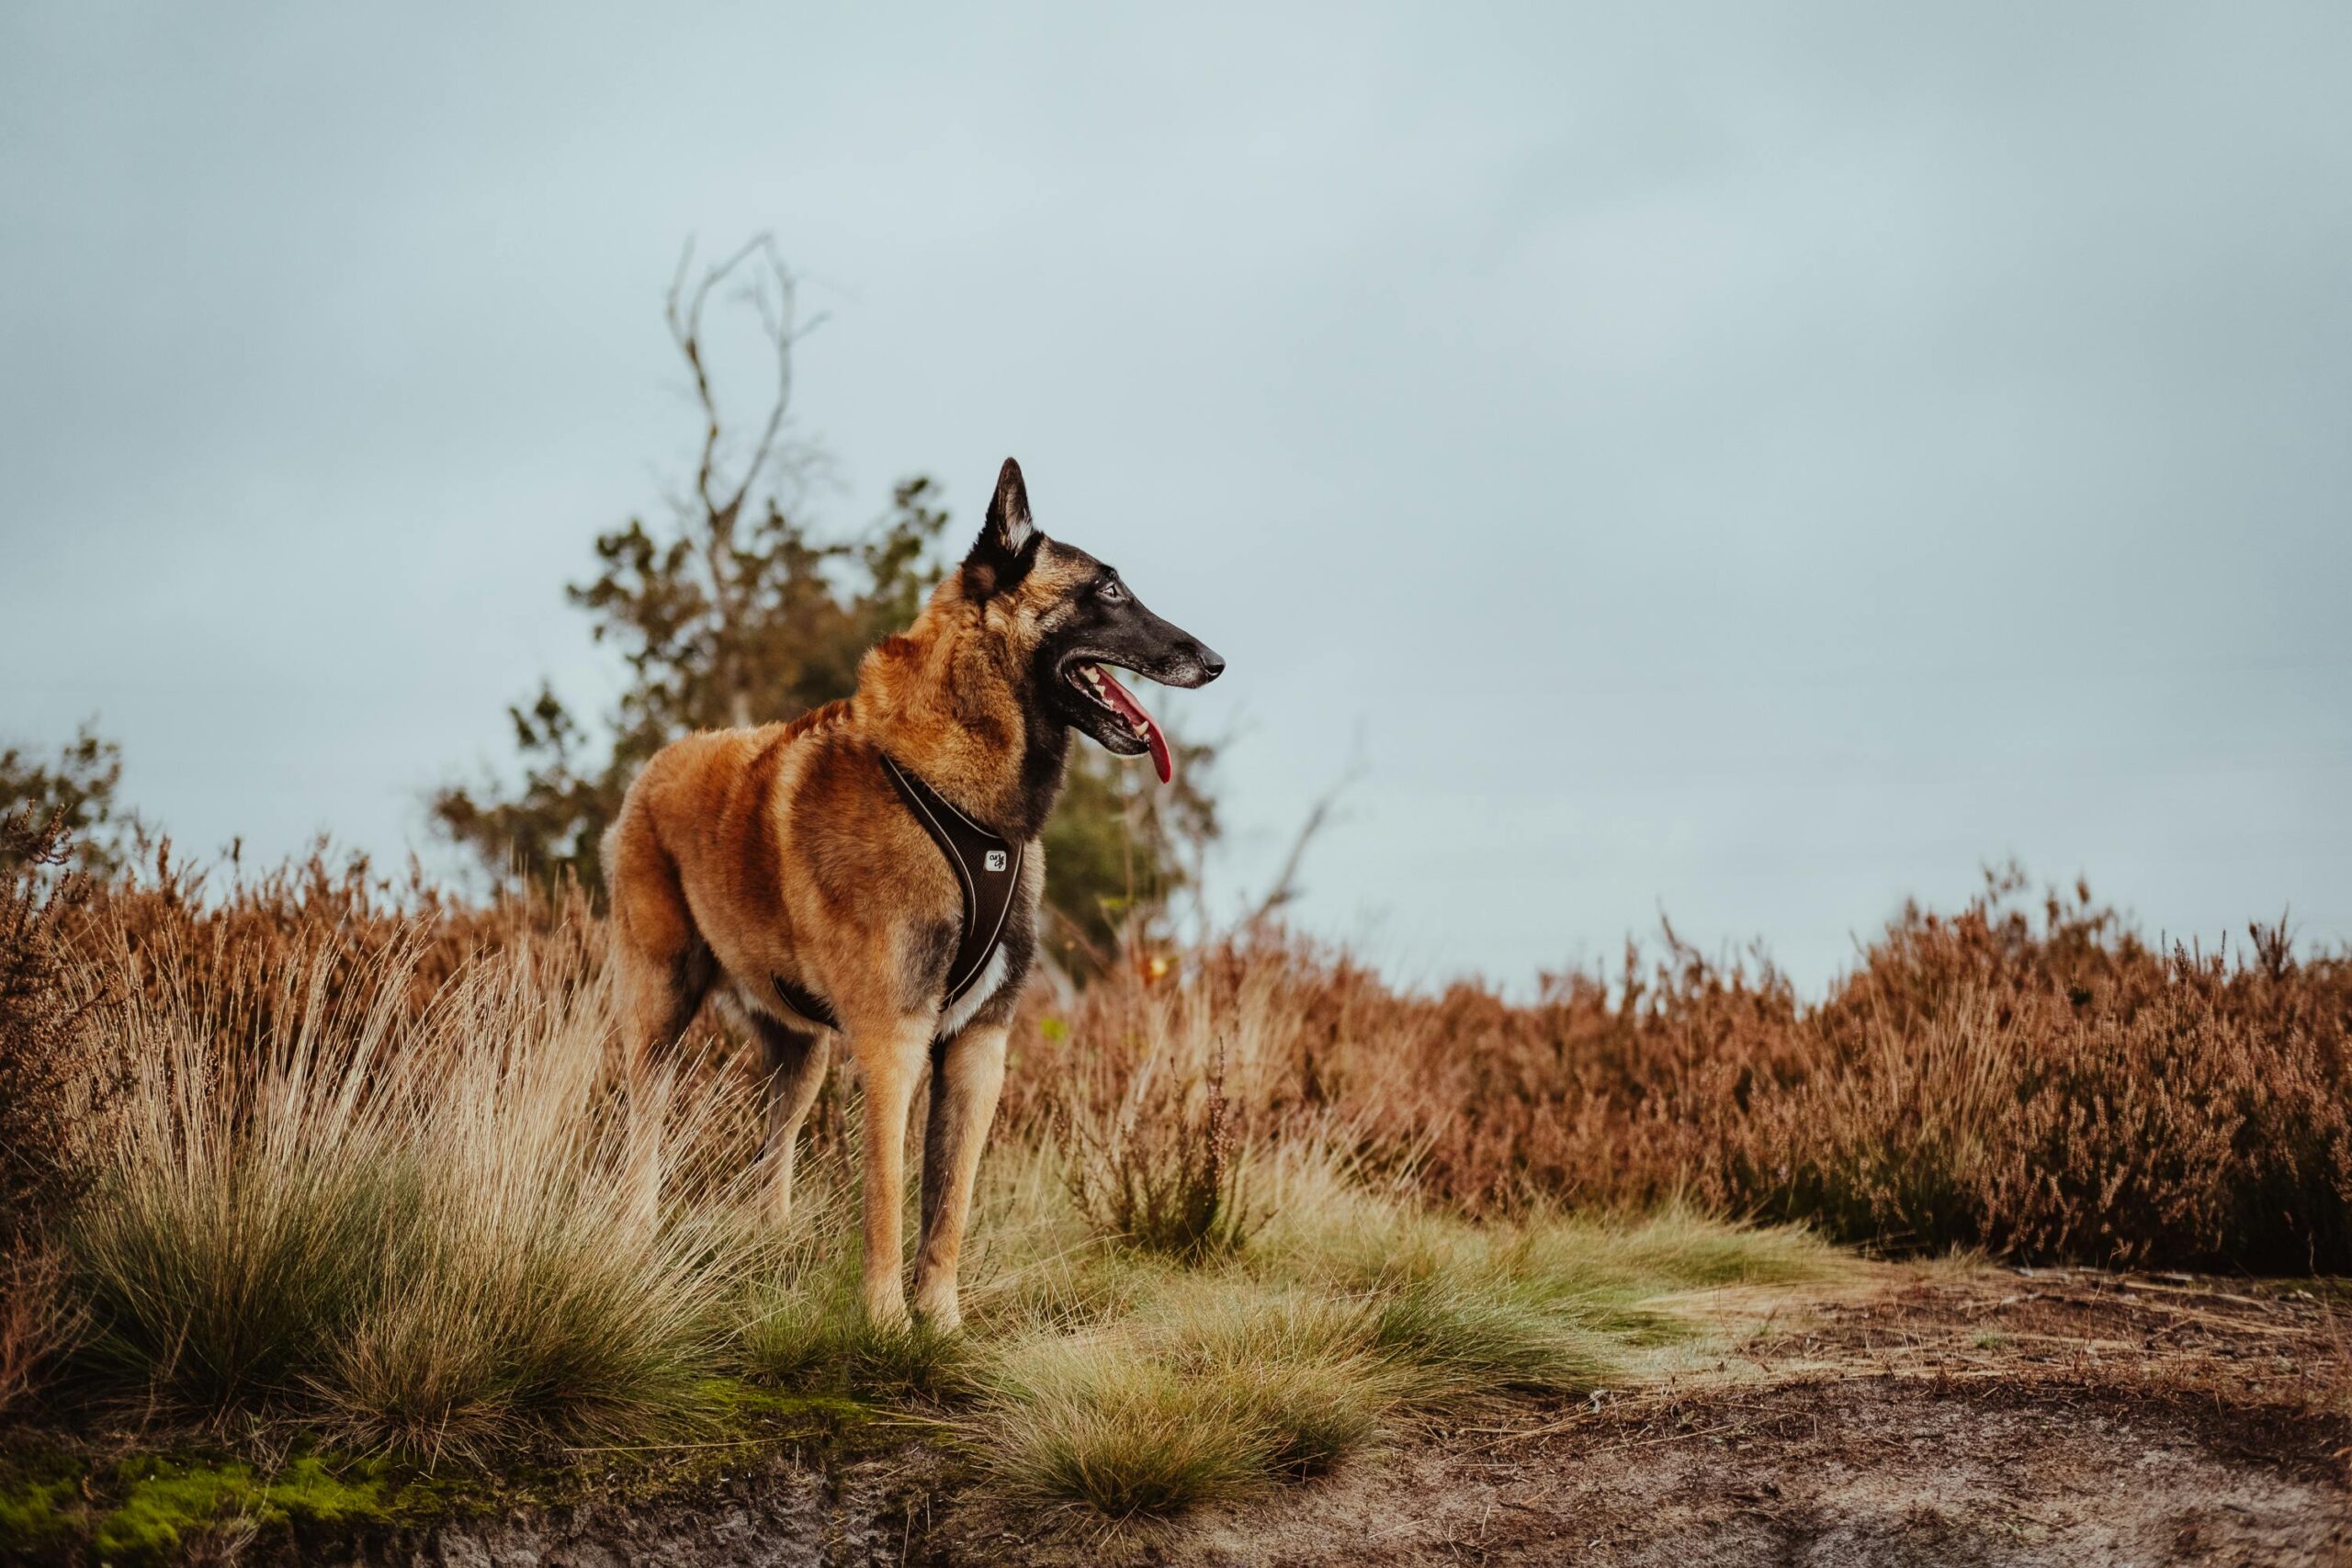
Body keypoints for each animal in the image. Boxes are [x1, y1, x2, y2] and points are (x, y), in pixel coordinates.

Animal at [606, 453, 1223, 1325]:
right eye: (1108, 589)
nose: (1213, 660)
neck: (967, 798)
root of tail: (657, 765)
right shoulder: (892, 1042)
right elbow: (888, 1201)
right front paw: (887, 1323)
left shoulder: (978, 1048)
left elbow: (949, 1203)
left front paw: (942, 1321)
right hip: (658, 1015)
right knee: (644, 1143)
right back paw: (636, 1243)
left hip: (802, 1054)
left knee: (771, 1160)